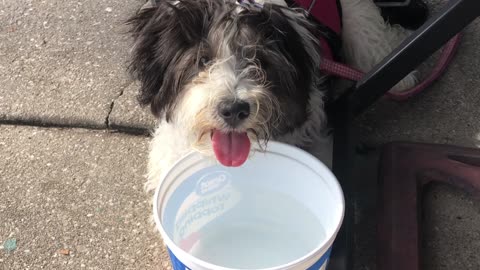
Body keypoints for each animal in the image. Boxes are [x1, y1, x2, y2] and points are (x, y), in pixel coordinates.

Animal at [126, 0, 428, 192]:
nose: (233, 109)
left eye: (259, 61)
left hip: (356, 20)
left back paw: (404, 77)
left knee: (373, 41)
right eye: (202, 60)